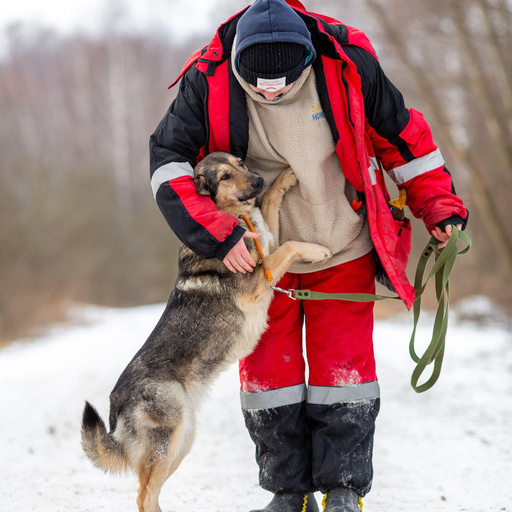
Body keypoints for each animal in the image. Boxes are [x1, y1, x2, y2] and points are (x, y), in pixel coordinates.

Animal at [81, 152, 332, 512]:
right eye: (224, 177)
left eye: (240, 163)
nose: (258, 180)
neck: (236, 217)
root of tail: (117, 403)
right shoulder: (260, 277)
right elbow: (290, 247)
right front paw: (316, 251)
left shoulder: (267, 243)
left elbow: (272, 204)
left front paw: (284, 178)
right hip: (168, 442)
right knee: (143, 495)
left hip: (181, 443)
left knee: (150, 493)